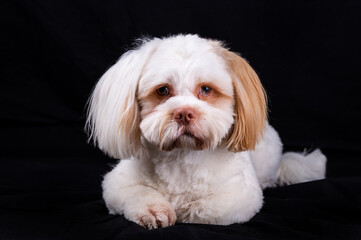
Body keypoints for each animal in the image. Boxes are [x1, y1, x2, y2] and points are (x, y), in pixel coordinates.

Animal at [85, 33, 326, 229]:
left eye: (206, 89)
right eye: (162, 90)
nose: (184, 113)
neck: (182, 156)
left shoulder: (242, 196)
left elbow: (206, 208)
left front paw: (183, 209)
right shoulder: (116, 184)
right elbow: (137, 192)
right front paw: (154, 210)